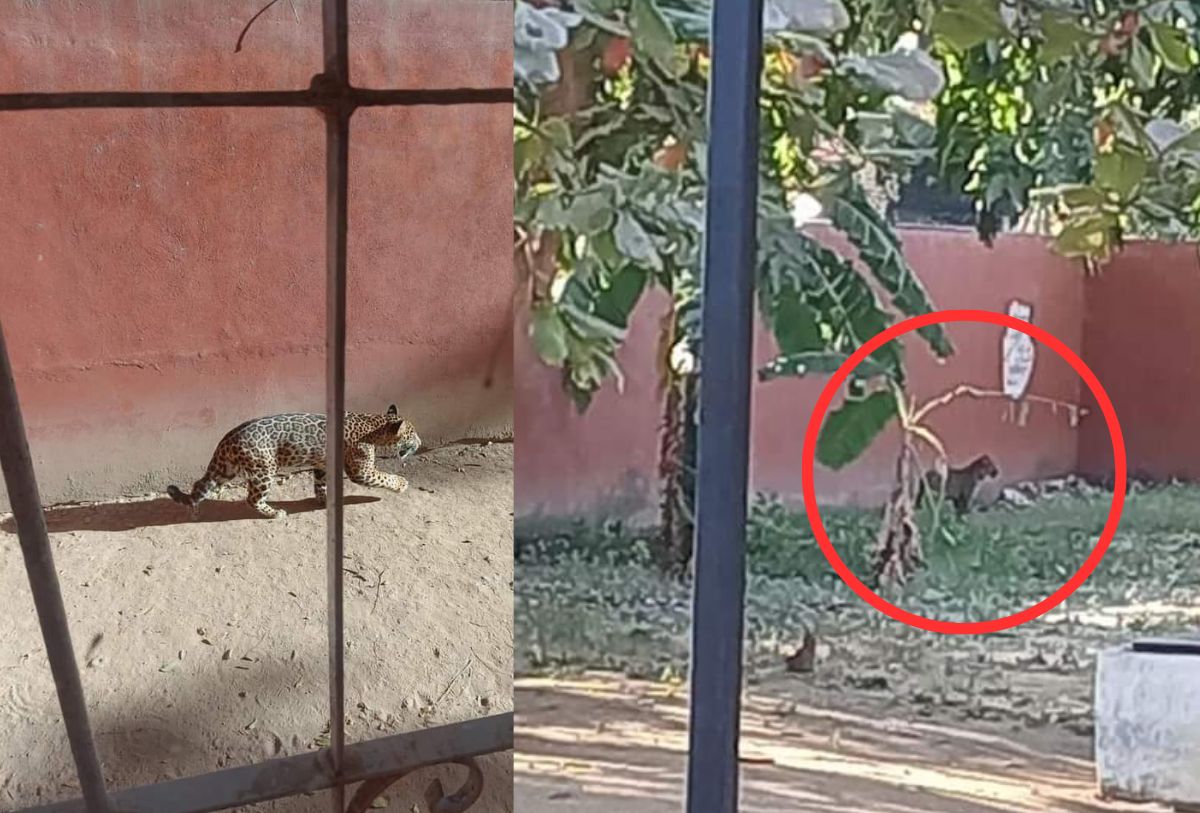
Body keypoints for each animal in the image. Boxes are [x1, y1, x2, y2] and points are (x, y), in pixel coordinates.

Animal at [166, 407, 422, 522]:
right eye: (413, 434)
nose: (420, 442)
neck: (374, 425)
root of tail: (227, 439)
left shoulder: (322, 464)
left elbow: (320, 484)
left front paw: (323, 500)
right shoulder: (362, 470)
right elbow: (384, 477)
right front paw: (402, 484)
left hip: (226, 468)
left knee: (201, 484)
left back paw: (195, 509)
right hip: (263, 470)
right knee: (252, 498)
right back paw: (275, 513)